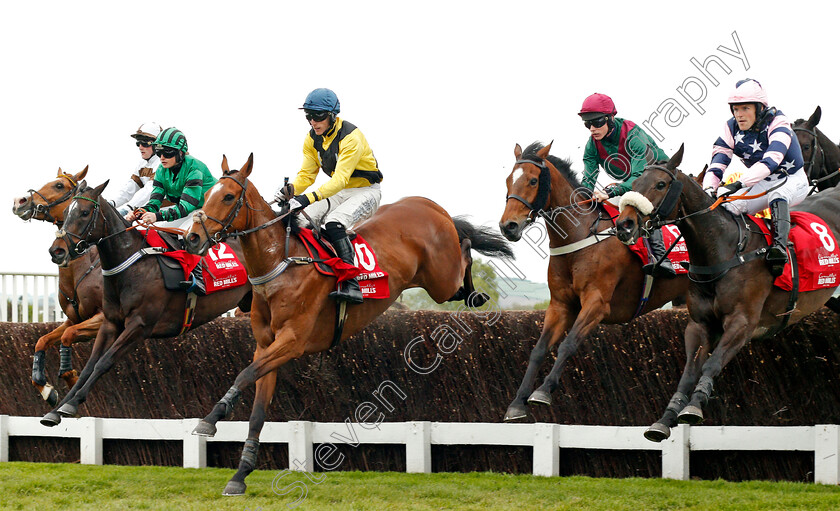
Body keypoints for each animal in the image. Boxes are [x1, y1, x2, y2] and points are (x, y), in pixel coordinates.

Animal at [12, 168, 104, 408]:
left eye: (59, 185)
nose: (19, 201)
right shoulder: (74, 319)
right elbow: (42, 341)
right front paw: (46, 389)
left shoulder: (102, 318)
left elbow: (68, 339)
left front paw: (71, 380)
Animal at [39, 182, 254, 430]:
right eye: (66, 213)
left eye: (84, 212)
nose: (57, 251)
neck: (131, 265)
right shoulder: (109, 323)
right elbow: (88, 365)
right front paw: (57, 408)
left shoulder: (139, 327)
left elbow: (104, 362)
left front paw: (73, 402)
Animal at [184, 155, 512, 496]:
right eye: (207, 194)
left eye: (228, 196)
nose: (192, 238)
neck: (281, 265)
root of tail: (431, 205)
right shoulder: (266, 346)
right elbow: (257, 410)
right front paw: (240, 474)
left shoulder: (292, 341)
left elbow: (244, 374)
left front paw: (210, 419)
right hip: (439, 282)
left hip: (441, 280)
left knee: (466, 247)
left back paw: (476, 291)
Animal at [498, 142, 688, 422]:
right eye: (508, 180)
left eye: (533, 180)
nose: (508, 226)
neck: (577, 236)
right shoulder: (560, 305)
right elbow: (538, 350)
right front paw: (517, 403)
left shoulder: (597, 303)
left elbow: (568, 344)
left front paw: (543, 391)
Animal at [612, 146, 840, 442]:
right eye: (635, 183)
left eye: (660, 184)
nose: (624, 225)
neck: (724, 251)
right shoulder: (699, 324)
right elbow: (689, 372)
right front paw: (665, 418)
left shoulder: (742, 322)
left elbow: (712, 364)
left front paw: (694, 407)